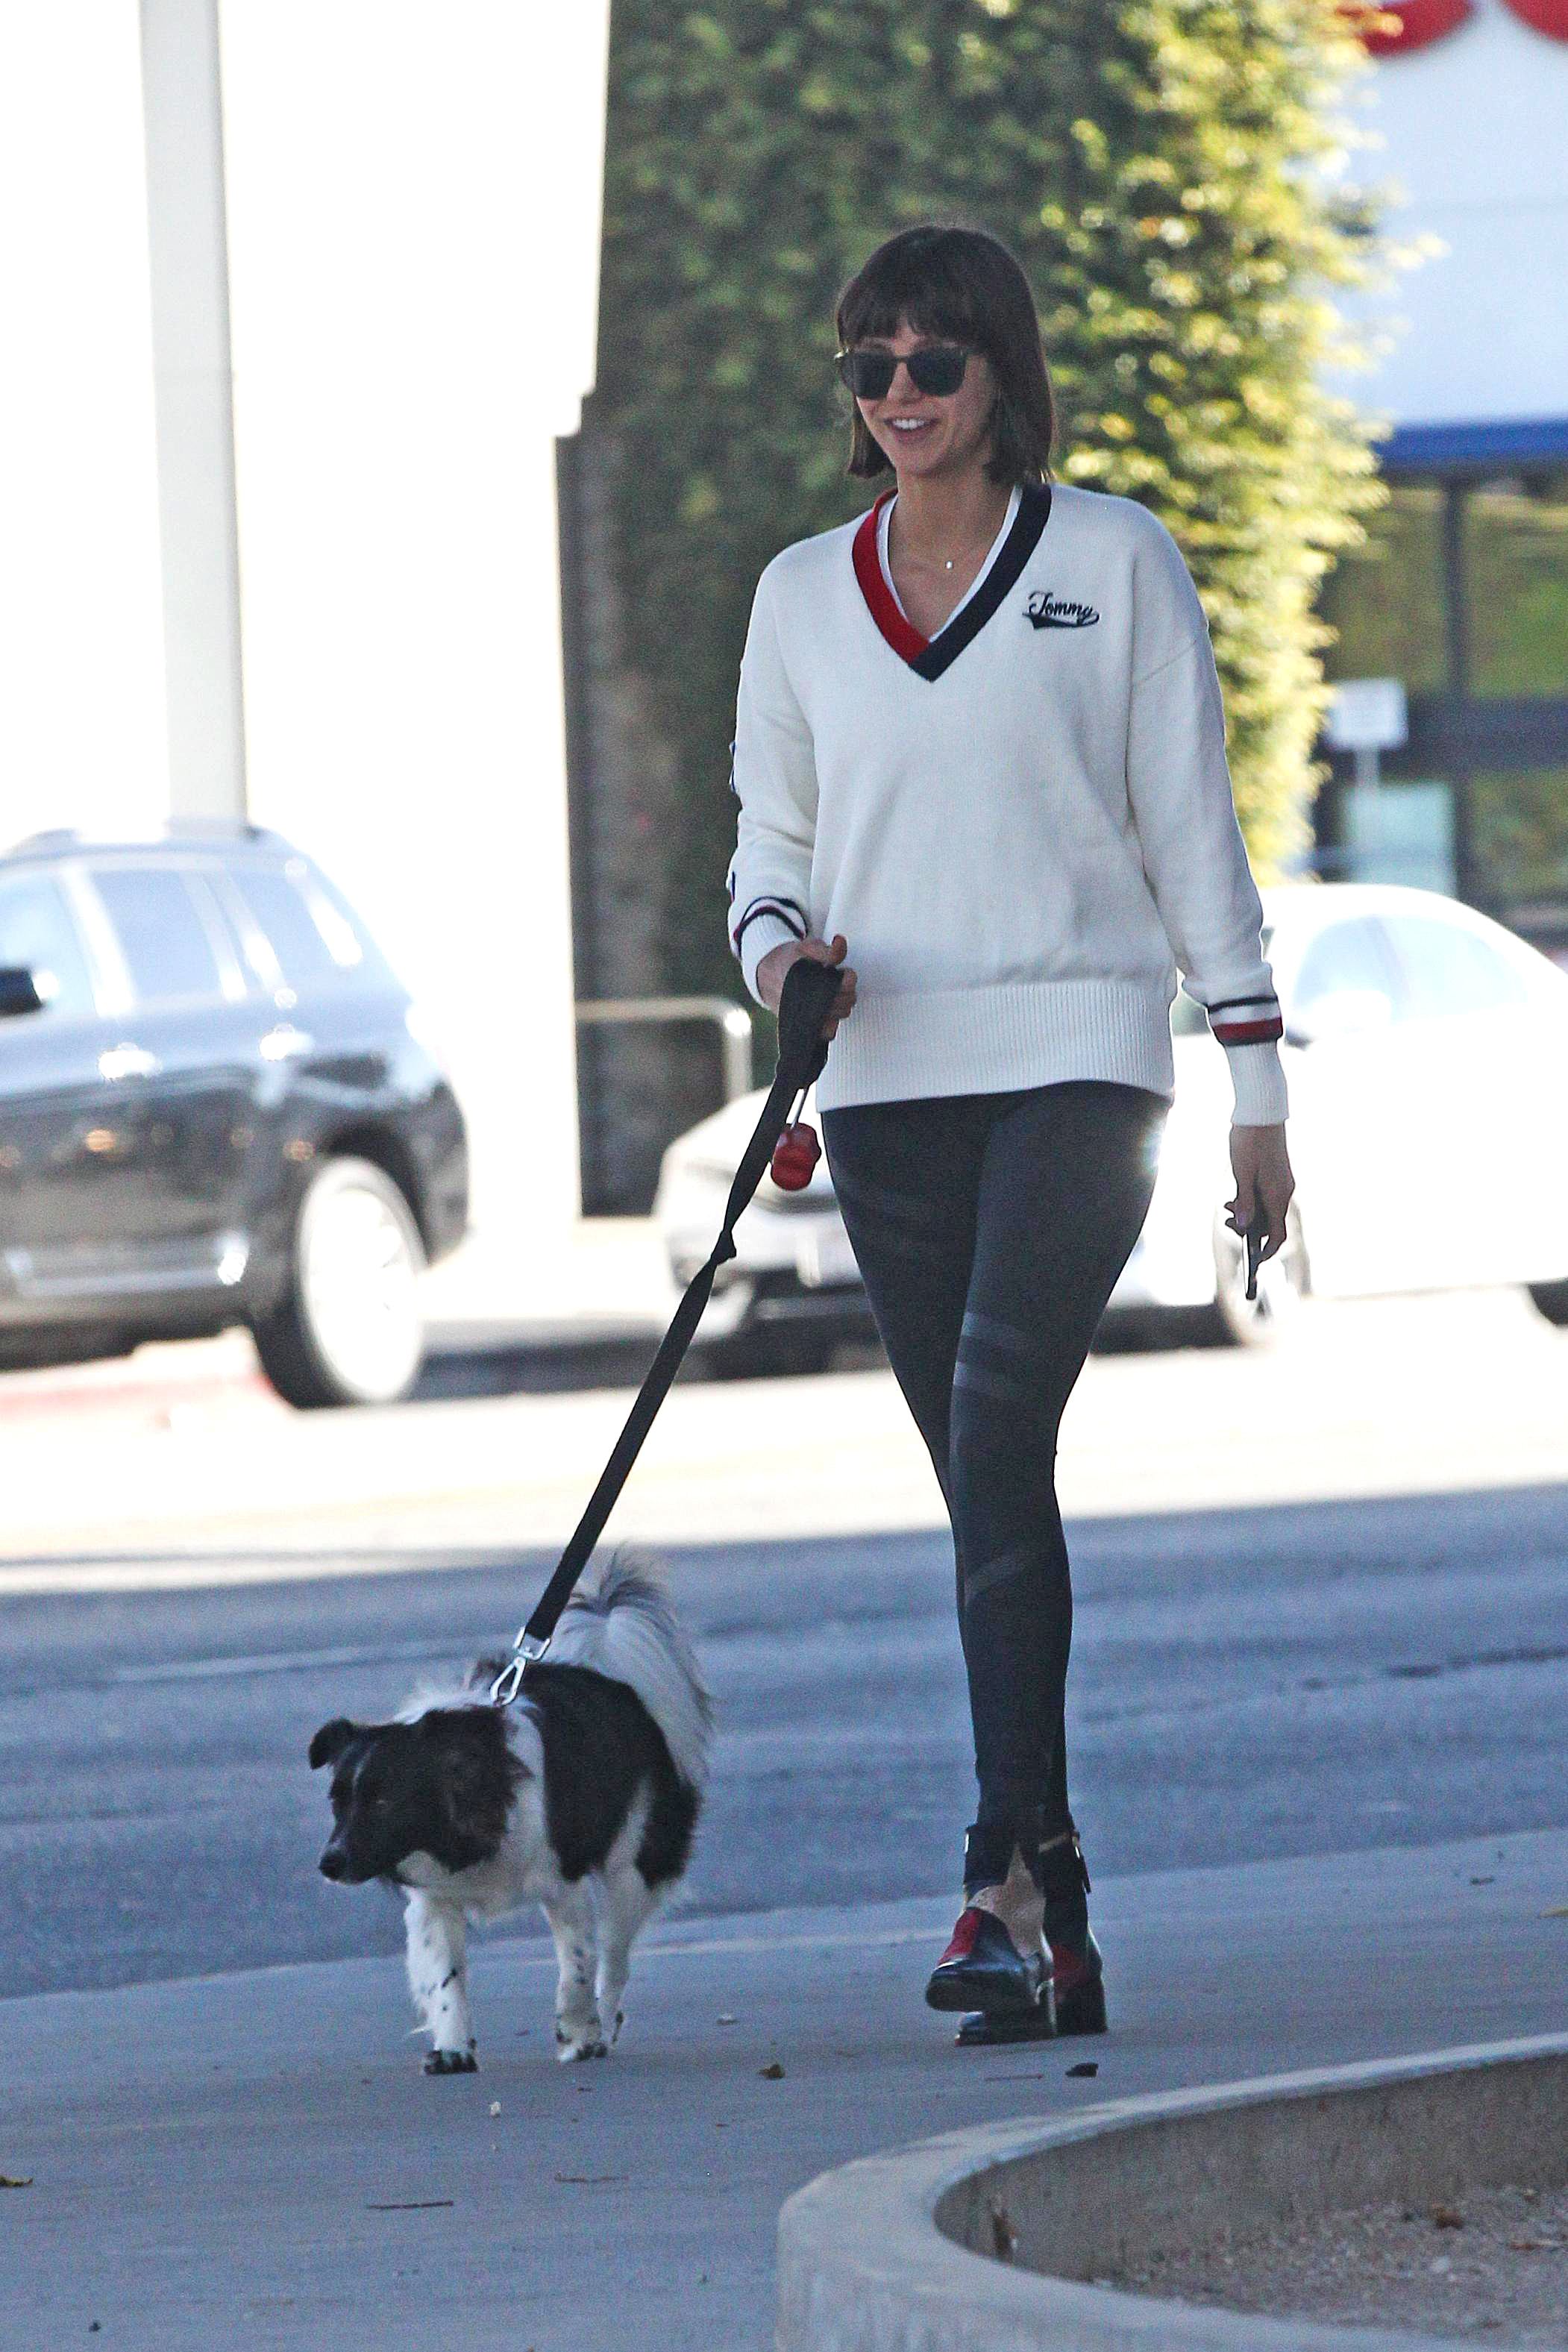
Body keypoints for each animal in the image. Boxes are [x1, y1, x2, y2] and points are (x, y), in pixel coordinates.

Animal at [308, 1558, 711, 2071]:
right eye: (337, 1802)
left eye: (383, 1802)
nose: (329, 1863)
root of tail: (613, 1678)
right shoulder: (434, 1902)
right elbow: (446, 1980)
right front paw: (453, 2049)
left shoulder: (563, 1887)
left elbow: (576, 1972)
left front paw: (579, 2035)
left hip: (633, 1868)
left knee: (615, 1958)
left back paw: (605, 2023)